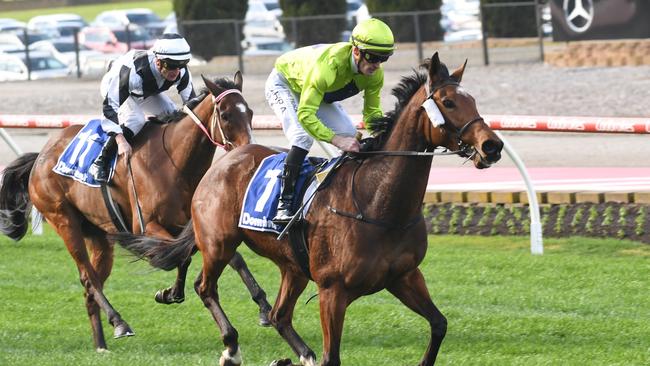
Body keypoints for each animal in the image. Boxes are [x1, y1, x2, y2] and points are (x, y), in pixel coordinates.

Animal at [0, 72, 270, 352]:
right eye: (225, 115)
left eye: (249, 112)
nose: (249, 150)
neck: (174, 161)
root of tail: (41, 155)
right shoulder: (146, 226)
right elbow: (181, 257)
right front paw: (171, 292)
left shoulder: (199, 223)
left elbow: (230, 258)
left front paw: (262, 306)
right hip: (64, 221)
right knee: (88, 277)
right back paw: (119, 322)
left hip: (98, 236)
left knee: (92, 285)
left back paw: (101, 345)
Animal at [115, 52, 502, 366]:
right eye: (448, 102)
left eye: (472, 99)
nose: (492, 146)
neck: (378, 202)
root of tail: (222, 162)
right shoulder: (333, 291)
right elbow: (334, 357)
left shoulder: (404, 276)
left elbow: (439, 324)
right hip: (218, 243)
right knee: (205, 287)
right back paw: (231, 346)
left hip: (292, 266)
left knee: (278, 315)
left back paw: (298, 354)